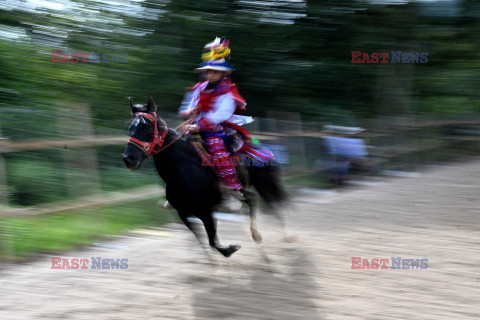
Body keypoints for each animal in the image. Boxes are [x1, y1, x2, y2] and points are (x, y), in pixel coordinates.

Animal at [124, 95, 286, 258]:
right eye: (130, 127)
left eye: (147, 126)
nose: (128, 158)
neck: (181, 173)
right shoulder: (184, 213)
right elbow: (205, 241)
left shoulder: (206, 211)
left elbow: (213, 242)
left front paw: (231, 248)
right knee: (253, 199)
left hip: (263, 184)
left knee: (271, 205)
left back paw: (280, 237)